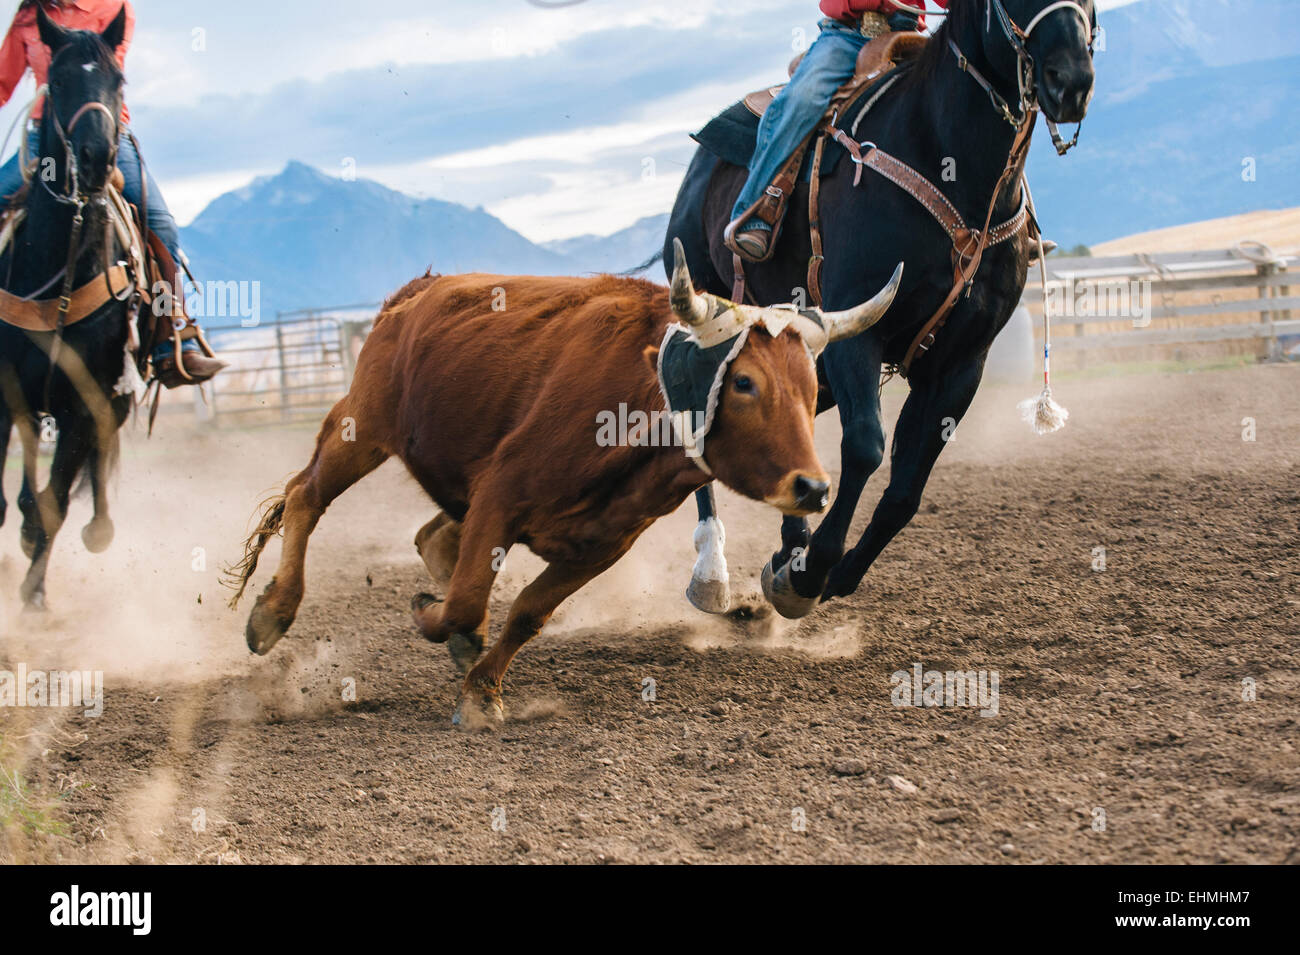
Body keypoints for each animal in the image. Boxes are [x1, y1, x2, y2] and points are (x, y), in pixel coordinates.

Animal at [665, 0, 1092, 615]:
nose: (1071, 81)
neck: (949, 164)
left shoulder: (962, 362)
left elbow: (907, 488)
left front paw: (828, 569)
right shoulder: (856, 332)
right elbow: (866, 447)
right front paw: (807, 574)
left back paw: (785, 543)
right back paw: (712, 570)